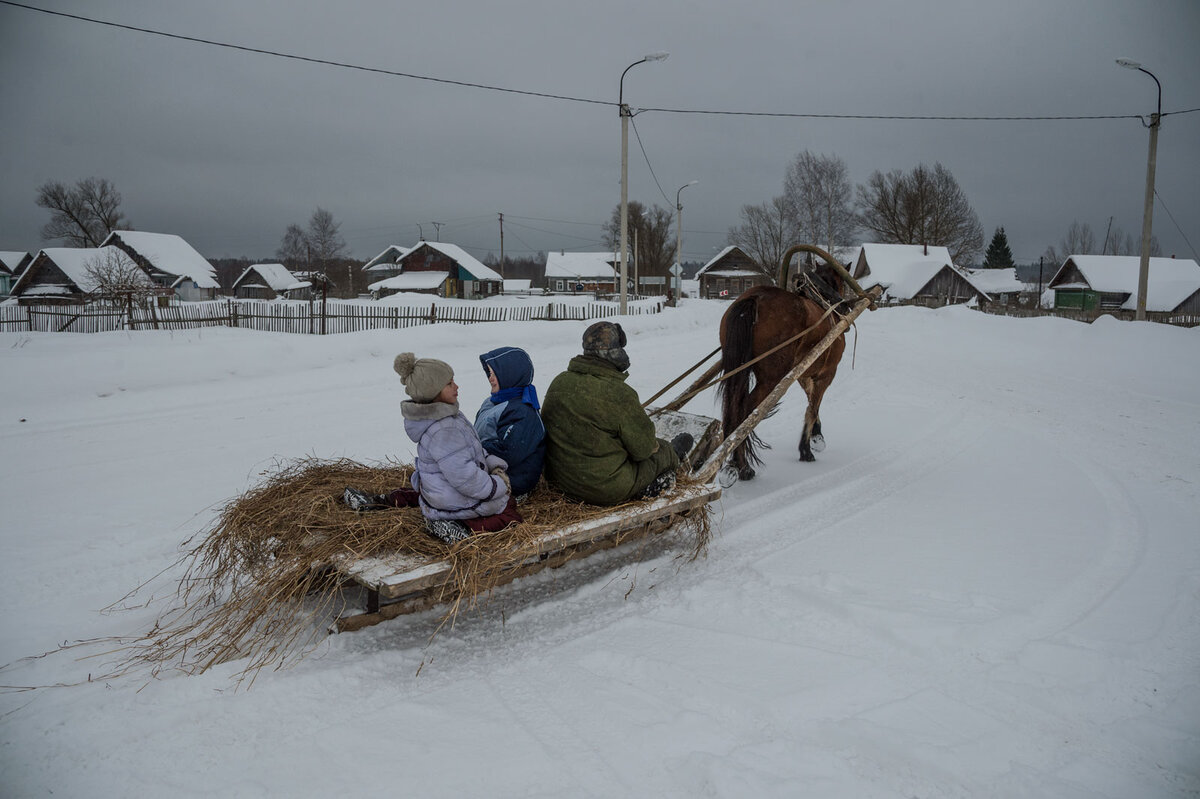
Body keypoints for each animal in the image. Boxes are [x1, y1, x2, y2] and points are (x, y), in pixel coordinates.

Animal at [715, 257, 849, 475]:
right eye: (843, 283)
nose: (844, 306)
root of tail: (755, 298)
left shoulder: (803, 374)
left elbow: (811, 402)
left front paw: (816, 435)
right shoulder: (826, 373)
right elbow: (812, 408)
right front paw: (806, 449)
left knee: (733, 408)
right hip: (772, 379)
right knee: (744, 413)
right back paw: (743, 467)